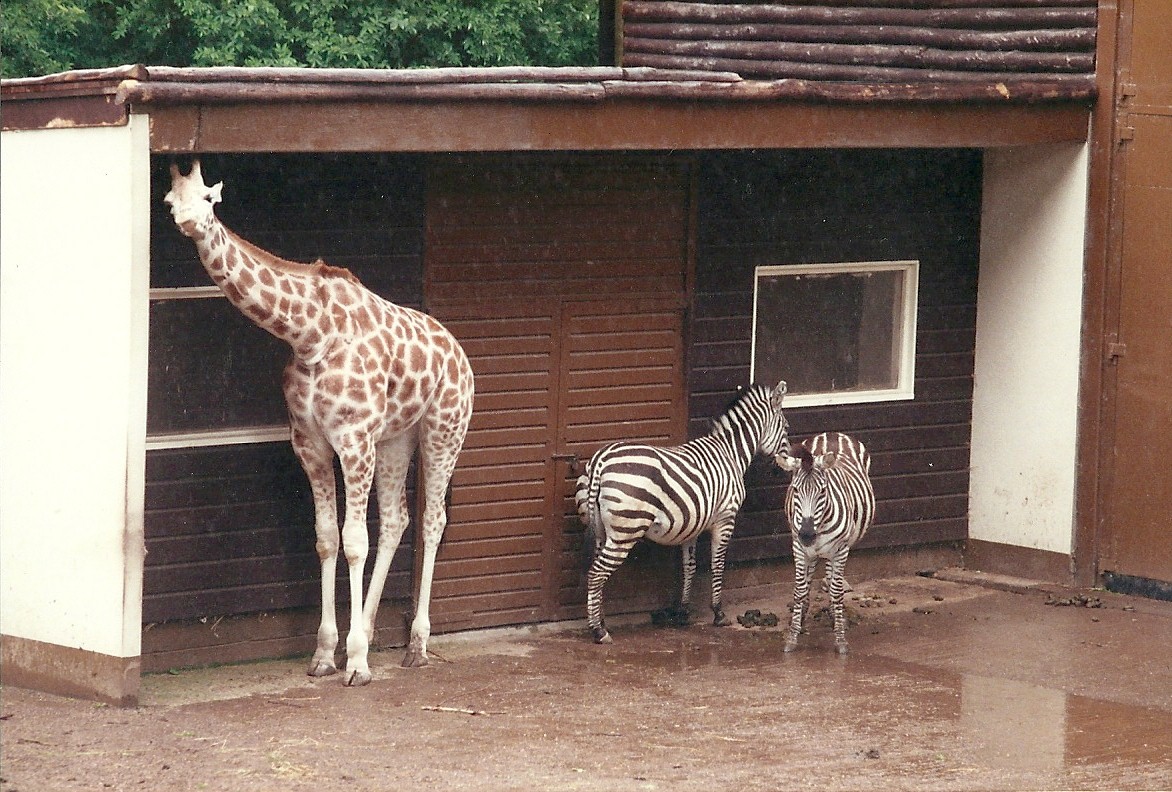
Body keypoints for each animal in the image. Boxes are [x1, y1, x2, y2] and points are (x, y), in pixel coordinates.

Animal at [164, 160, 474, 686]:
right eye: (170, 200)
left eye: (208, 199)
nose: (188, 223)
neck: (310, 334)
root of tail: (459, 353)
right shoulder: (310, 442)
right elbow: (328, 539)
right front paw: (328, 654)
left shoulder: (353, 438)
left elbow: (354, 542)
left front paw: (357, 664)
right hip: (397, 438)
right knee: (398, 518)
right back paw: (370, 632)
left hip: (444, 429)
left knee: (432, 521)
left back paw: (416, 645)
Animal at [575, 381, 790, 644]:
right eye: (786, 428)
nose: (783, 469)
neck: (731, 453)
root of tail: (601, 460)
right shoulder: (725, 518)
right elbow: (717, 564)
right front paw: (718, 613)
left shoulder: (693, 525)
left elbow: (690, 566)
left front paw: (683, 611)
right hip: (626, 530)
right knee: (596, 573)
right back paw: (599, 631)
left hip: (599, 528)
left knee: (595, 571)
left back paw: (601, 621)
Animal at [775, 431, 875, 655]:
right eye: (795, 490)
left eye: (822, 491)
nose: (807, 534)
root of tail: (832, 434)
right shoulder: (798, 547)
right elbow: (799, 589)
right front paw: (793, 635)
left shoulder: (840, 549)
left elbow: (837, 592)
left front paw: (840, 640)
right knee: (812, 577)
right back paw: (804, 615)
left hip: (838, 548)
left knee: (831, 579)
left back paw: (834, 616)